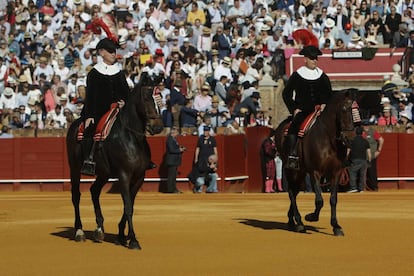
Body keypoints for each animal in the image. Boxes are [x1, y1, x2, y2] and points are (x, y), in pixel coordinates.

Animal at [66, 75, 163, 250]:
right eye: (146, 97)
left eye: (161, 97)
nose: (157, 127)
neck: (132, 137)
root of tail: (75, 124)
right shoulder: (124, 175)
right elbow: (128, 206)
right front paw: (133, 240)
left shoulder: (139, 177)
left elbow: (129, 205)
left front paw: (121, 236)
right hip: (74, 168)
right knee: (76, 195)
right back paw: (79, 231)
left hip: (103, 173)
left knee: (94, 191)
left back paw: (99, 230)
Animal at [274, 89, 360, 236]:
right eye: (344, 109)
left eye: (356, 110)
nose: (350, 138)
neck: (329, 138)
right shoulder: (315, 172)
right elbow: (319, 200)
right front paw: (311, 216)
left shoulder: (336, 172)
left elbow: (333, 199)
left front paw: (336, 226)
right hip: (290, 169)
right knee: (291, 191)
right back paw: (299, 222)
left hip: (301, 171)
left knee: (295, 191)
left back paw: (292, 221)